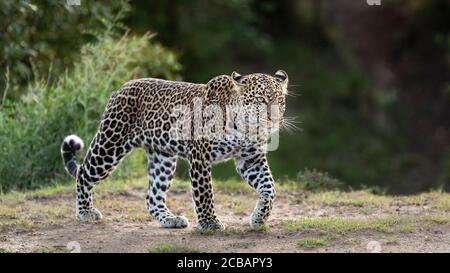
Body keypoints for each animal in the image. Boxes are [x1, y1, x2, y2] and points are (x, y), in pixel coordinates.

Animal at [60, 69, 288, 228]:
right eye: (261, 100)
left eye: (281, 101)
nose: (275, 120)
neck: (246, 126)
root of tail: (121, 88)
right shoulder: (200, 155)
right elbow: (204, 192)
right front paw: (209, 223)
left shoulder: (251, 159)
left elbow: (269, 187)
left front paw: (259, 218)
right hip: (110, 145)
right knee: (83, 174)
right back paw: (85, 212)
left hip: (163, 157)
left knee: (152, 197)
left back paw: (170, 219)